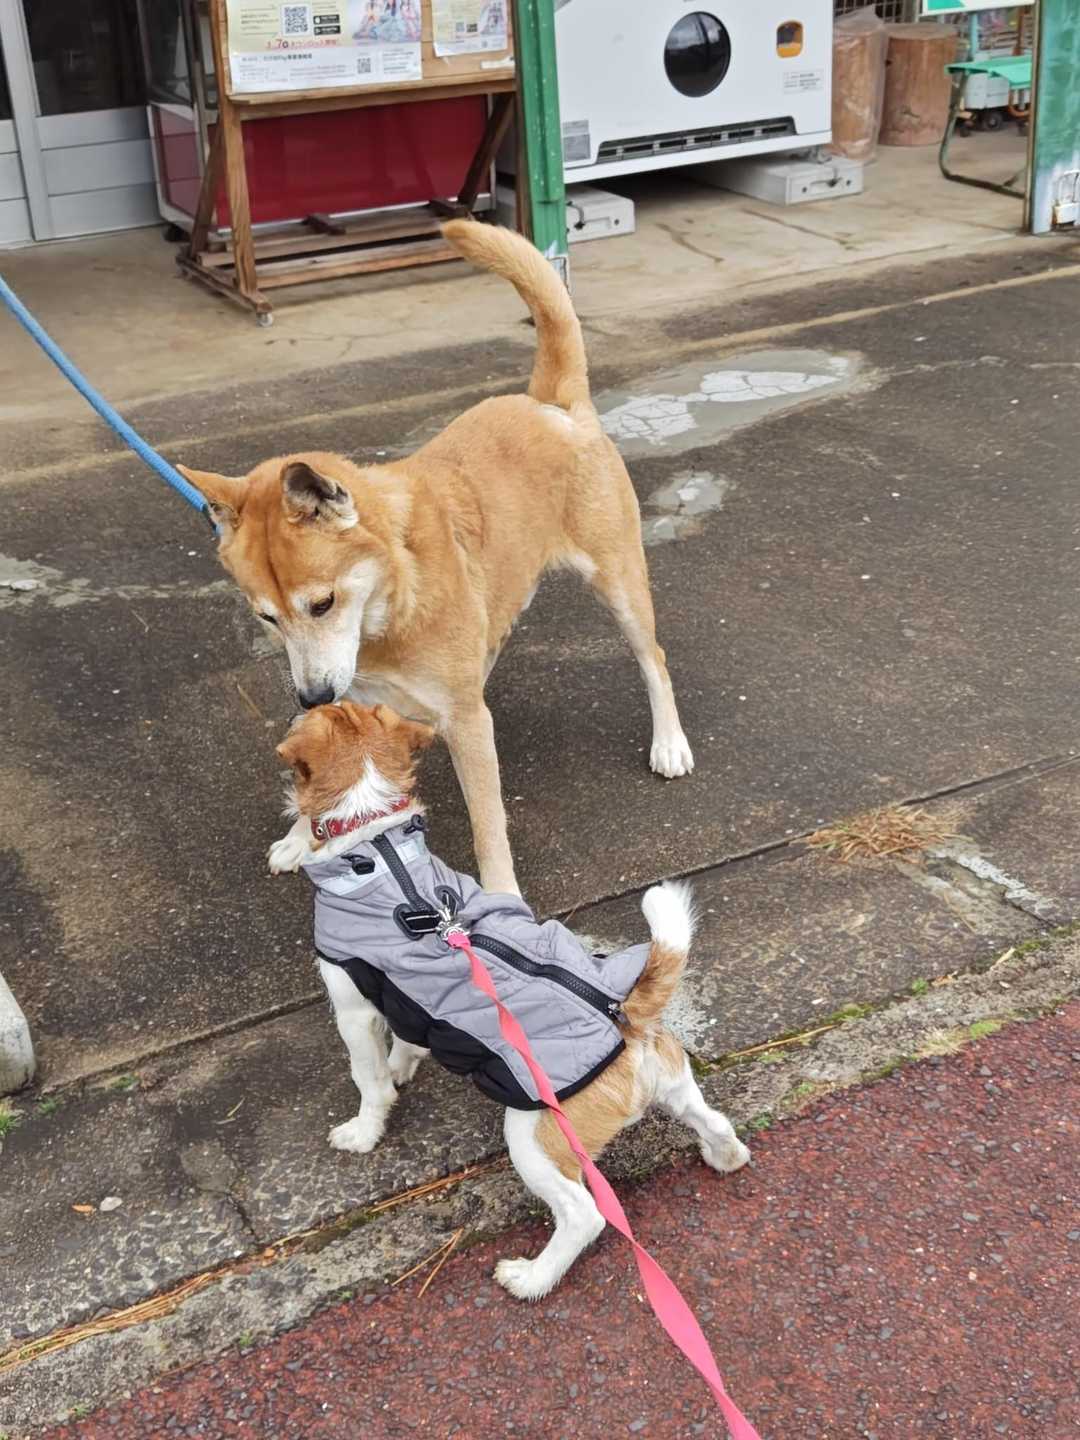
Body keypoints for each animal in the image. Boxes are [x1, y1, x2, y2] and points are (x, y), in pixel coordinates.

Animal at [179, 220, 693, 896]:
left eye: (322, 603)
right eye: (267, 619)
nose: (309, 698)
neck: (391, 600)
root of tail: (551, 404)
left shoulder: (467, 725)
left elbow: (488, 824)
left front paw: (502, 898)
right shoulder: (351, 691)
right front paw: (300, 835)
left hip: (620, 585)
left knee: (652, 660)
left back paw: (669, 742)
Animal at [269, 701, 748, 1299]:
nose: (307, 699)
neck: (376, 844)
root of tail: (627, 1019)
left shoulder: (353, 1007)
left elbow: (369, 1081)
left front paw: (363, 1131)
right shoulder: (408, 996)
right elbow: (407, 1037)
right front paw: (405, 1065)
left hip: (534, 1138)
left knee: (584, 1215)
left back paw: (531, 1278)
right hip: (676, 1086)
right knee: (714, 1121)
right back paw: (725, 1156)